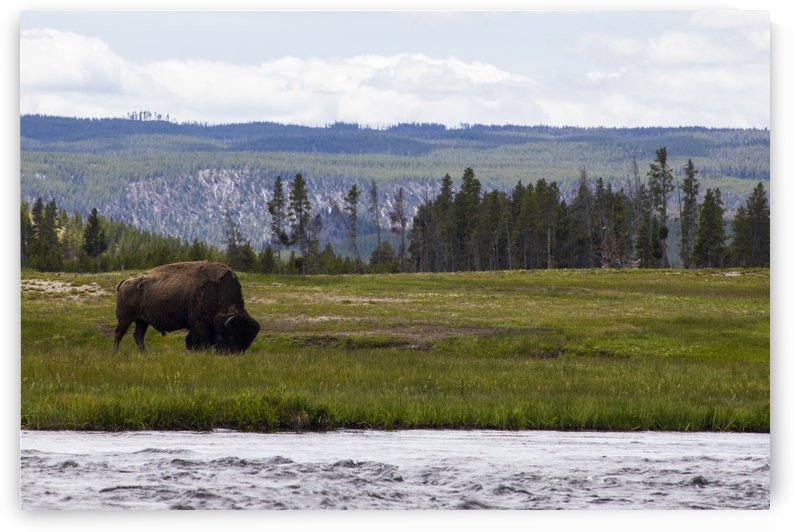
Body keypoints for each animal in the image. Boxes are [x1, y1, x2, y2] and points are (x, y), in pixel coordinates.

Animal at [114, 261, 260, 353]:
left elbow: (191, 340)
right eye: (232, 335)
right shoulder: (199, 323)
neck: (217, 291)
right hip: (125, 319)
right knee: (119, 334)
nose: (232, 353)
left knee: (138, 336)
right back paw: (115, 352)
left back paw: (145, 353)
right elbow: (201, 340)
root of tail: (125, 281)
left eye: (248, 341)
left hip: (142, 321)